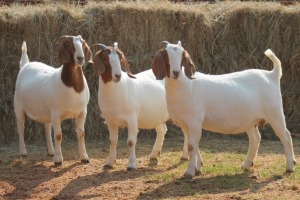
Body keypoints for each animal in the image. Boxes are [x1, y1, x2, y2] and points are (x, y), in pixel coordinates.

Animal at [13, 35, 92, 166]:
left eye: (83, 44)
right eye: (68, 45)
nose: (80, 58)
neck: (72, 87)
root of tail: (26, 65)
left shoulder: (82, 112)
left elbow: (81, 134)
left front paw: (84, 158)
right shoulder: (56, 113)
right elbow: (58, 135)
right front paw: (58, 159)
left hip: (47, 111)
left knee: (47, 128)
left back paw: (51, 151)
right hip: (18, 106)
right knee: (20, 128)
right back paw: (23, 152)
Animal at [93, 42, 188, 170]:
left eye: (120, 58)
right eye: (104, 58)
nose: (117, 76)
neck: (118, 89)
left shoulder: (132, 119)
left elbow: (131, 142)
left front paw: (132, 165)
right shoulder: (110, 121)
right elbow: (112, 141)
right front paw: (109, 162)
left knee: (186, 132)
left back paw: (185, 156)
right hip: (156, 114)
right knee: (162, 129)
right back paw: (154, 155)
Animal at [151, 40, 296, 177]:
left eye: (182, 55)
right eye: (165, 54)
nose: (176, 72)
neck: (185, 85)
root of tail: (272, 75)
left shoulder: (195, 121)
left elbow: (191, 146)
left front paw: (189, 172)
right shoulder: (186, 124)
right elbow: (193, 145)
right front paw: (198, 167)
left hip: (275, 113)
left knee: (286, 136)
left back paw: (289, 166)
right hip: (250, 120)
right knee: (255, 138)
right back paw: (247, 165)